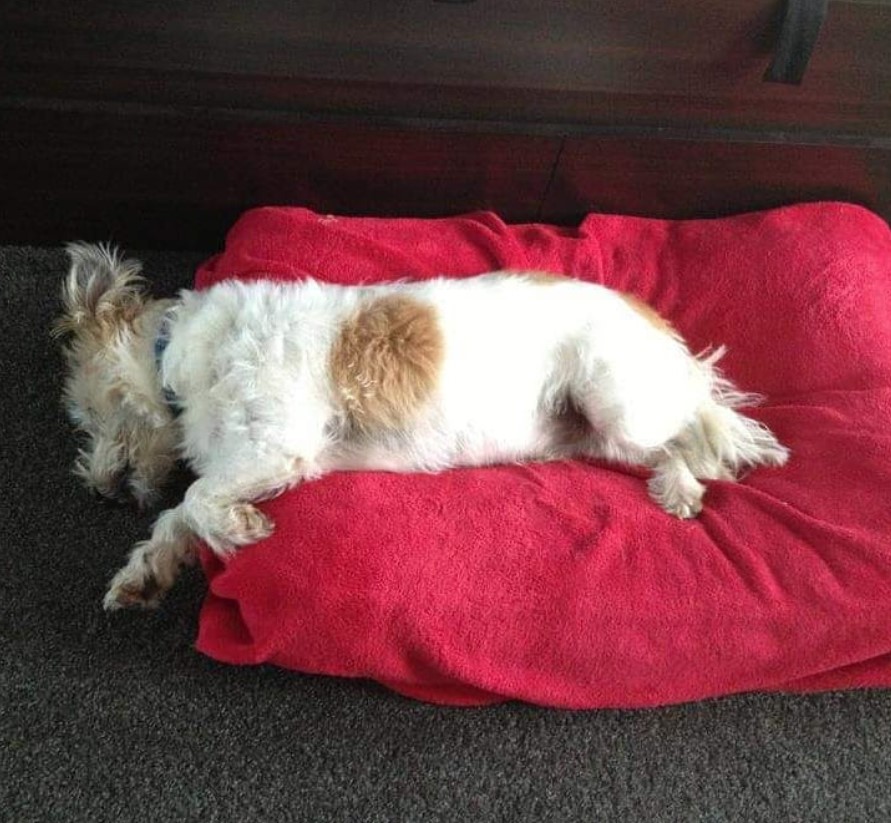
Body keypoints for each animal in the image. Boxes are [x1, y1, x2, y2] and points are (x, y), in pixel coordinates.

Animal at [54, 241, 788, 608]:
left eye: (90, 413)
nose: (95, 488)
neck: (179, 355)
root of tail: (655, 325)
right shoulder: (246, 457)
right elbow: (175, 515)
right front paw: (145, 574)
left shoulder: (279, 445)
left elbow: (198, 498)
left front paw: (237, 528)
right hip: (602, 432)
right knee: (677, 439)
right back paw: (676, 486)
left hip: (618, 400)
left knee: (695, 430)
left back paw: (689, 482)